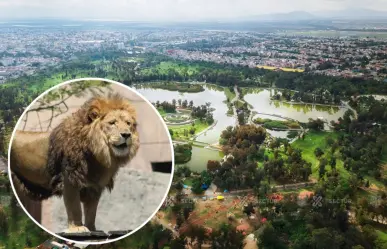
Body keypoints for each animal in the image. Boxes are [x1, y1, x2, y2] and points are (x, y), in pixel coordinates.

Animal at [9, 93, 141, 233]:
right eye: (112, 123)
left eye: (128, 123)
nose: (126, 134)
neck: (96, 154)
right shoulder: (70, 178)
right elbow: (74, 206)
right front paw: (77, 228)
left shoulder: (95, 186)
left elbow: (91, 211)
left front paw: (92, 229)